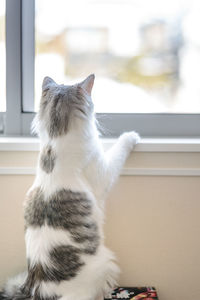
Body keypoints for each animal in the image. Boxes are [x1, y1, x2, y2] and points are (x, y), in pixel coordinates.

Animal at [0, 75, 140, 300]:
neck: (54, 141)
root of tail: (37, 288)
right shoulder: (104, 171)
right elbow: (120, 148)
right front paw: (131, 135)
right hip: (108, 263)